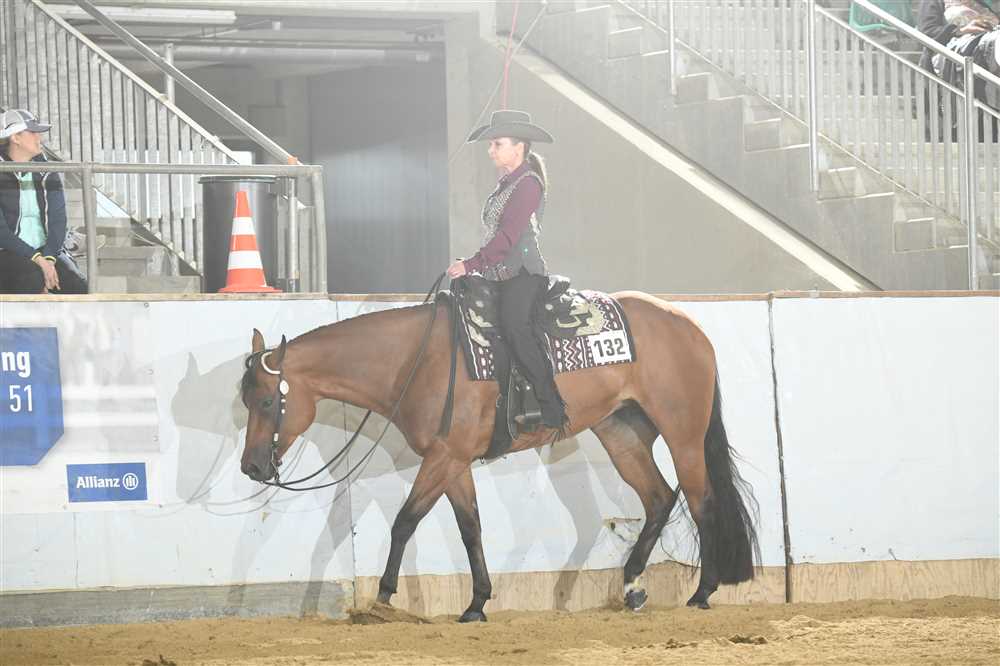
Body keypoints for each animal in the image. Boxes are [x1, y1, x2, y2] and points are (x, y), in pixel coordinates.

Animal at [238, 290, 759, 622]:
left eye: (265, 401)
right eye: (244, 400)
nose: (252, 467)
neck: (415, 360)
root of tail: (689, 325)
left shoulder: (444, 457)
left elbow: (405, 520)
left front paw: (382, 598)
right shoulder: (452, 461)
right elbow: (469, 527)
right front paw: (477, 603)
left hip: (683, 434)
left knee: (702, 501)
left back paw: (702, 593)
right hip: (622, 433)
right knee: (658, 498)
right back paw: (632, 587)